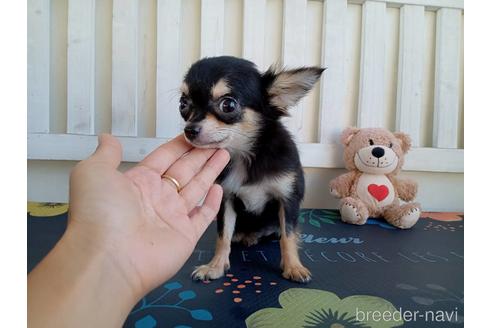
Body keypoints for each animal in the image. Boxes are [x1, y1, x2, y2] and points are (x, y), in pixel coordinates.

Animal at [179, 56, 324, 282]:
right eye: (183, 104)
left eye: (228, 105)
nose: (189, 130)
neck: (244, 155)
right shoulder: (226, 199)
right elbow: (223, 236)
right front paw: (215, 266)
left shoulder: (287, 199)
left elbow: (288, 235)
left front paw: (293, 267)